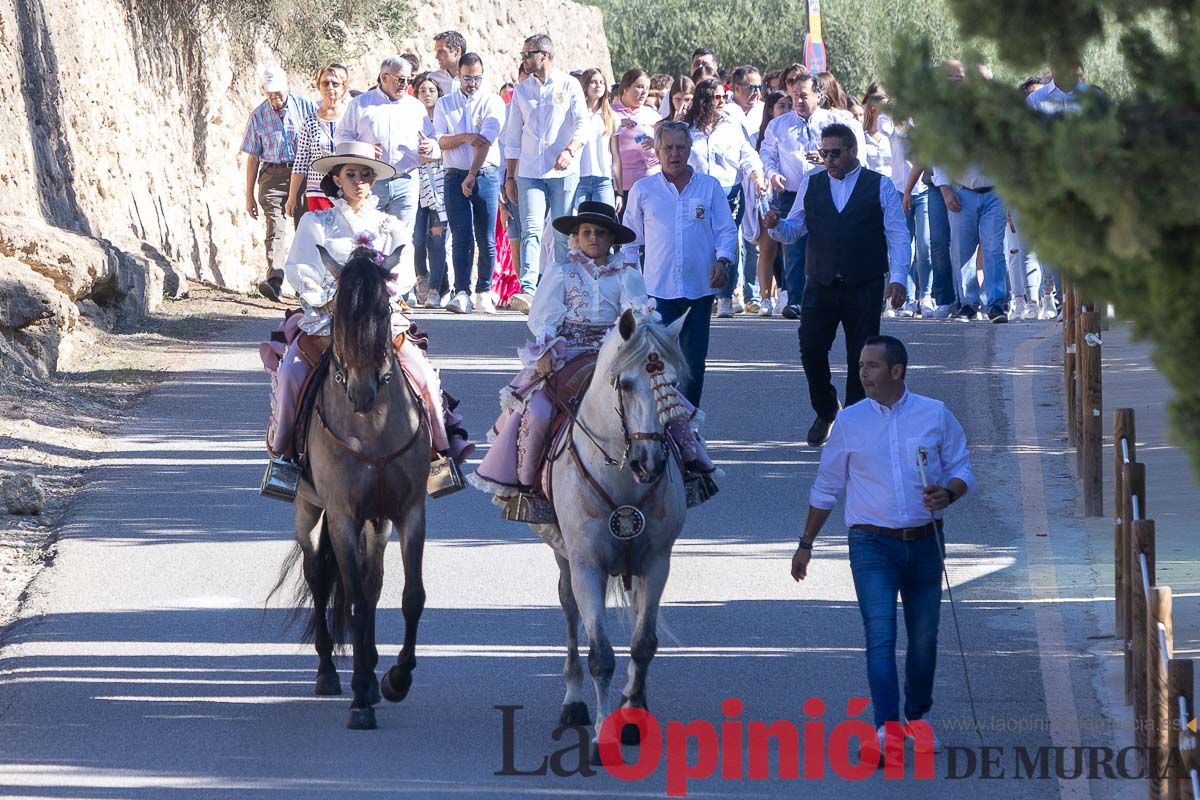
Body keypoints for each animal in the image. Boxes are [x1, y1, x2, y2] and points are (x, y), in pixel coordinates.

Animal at [274, 245, 432, 734]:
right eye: (337, 312)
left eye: (383, 309)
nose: (362, 391)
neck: (372, 426)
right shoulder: (342, 515)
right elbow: (356, 602)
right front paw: (361, 697)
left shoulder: (409, 511)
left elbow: (410, 597)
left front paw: (396, 679)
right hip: (308, 512)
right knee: (320, 577)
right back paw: (329, 672)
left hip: (376, 522)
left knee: (372, 579)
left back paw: (374, 666)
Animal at [537, 309, 691, 758]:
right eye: (624, 384)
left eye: (674, 384)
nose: (650, 461)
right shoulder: (587, 564)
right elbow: (600, 655)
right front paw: (604, 733)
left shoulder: (657, 562)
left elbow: (643, 644)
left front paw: (633, 716)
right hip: (565, 558)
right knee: (569, 610)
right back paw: (573, 702)